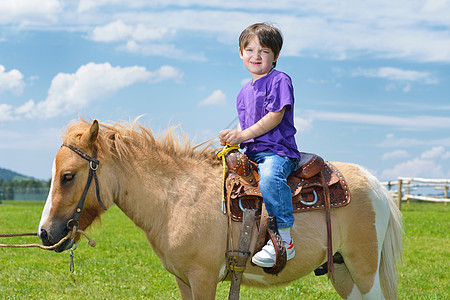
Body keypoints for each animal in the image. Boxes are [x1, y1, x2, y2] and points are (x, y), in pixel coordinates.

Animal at [38, 119, 402, 300]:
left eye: (68, 176)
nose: (44, 233)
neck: (176, 198)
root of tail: (375, 184)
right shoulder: (183, 280)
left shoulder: (203, 277)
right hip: (343, 272)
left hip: (363, 271)